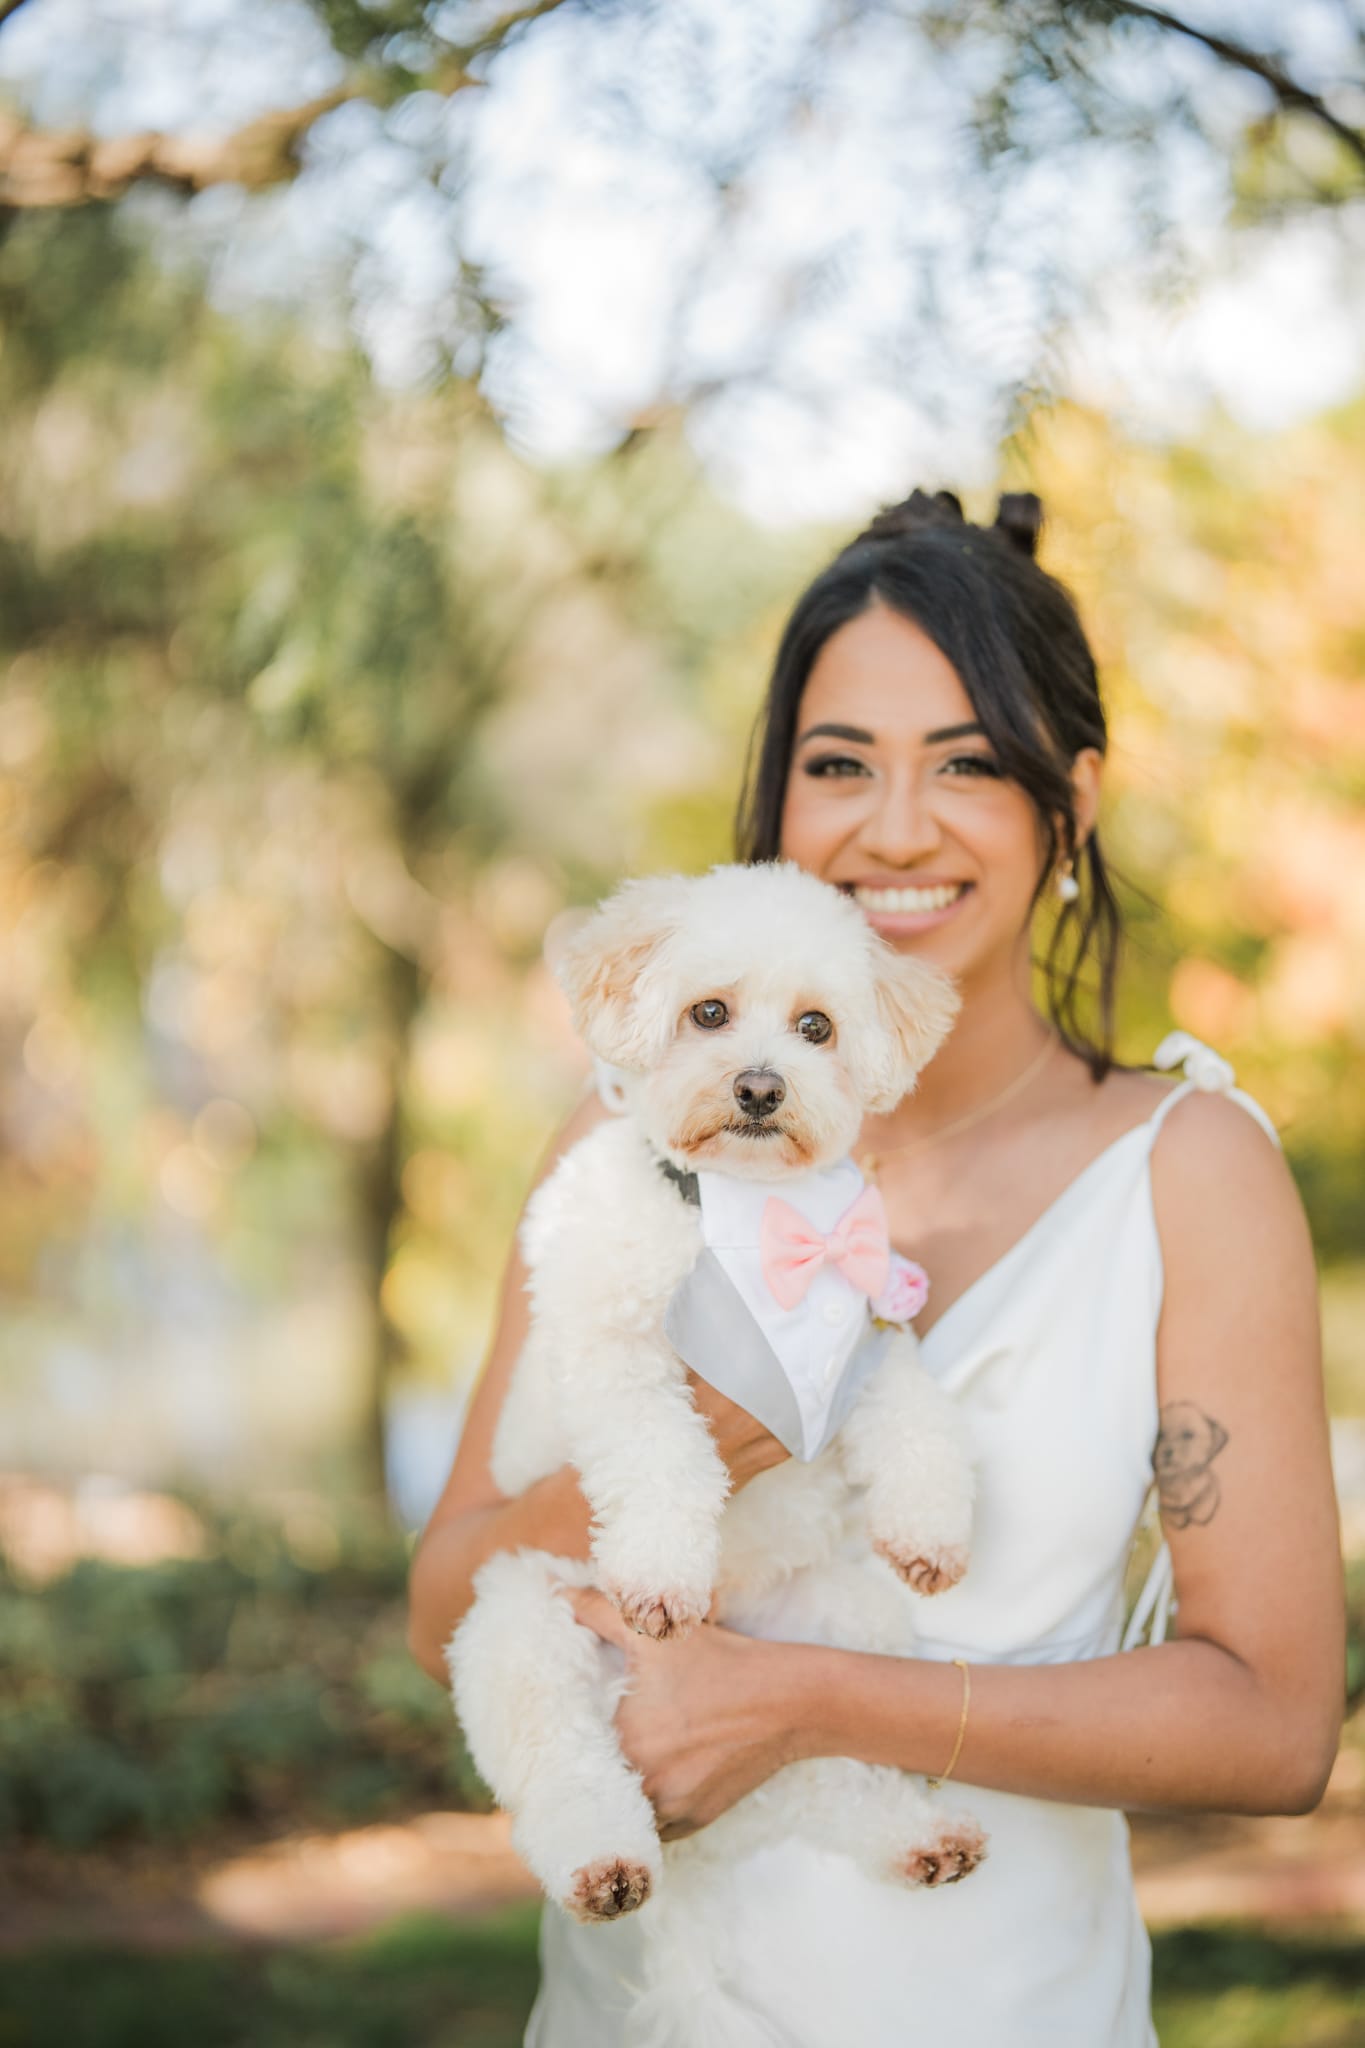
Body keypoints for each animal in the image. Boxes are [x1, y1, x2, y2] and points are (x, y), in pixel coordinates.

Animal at [448, 863, 986, 2042]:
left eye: (817, 1026)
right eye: (707, 1012)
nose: (758, 1086)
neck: (739, 1217)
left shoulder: (867, 1332)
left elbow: (917, 1417)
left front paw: (930, 1523)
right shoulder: (616, 1353)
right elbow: (662, 1454)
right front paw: (662, 1570)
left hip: (841, 1638)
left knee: (822, 1774)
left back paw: (919, 1838)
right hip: (521, 1633)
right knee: (564, 1773)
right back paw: (604, 1864)